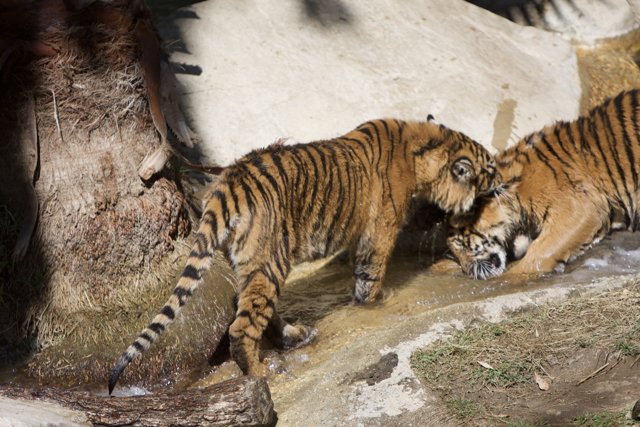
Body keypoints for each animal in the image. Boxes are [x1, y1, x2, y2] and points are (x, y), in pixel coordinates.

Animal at [107, 117, 500, 394]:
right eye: (491, 175)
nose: (501, 187)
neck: (424, 149)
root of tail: (228, 183)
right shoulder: (380, 233)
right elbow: (371, 278)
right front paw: (378, 301)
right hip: (270, 261)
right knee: (242, 326)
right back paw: (261, 373)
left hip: (251, 264)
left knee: (251, 307)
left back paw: (295, 335)